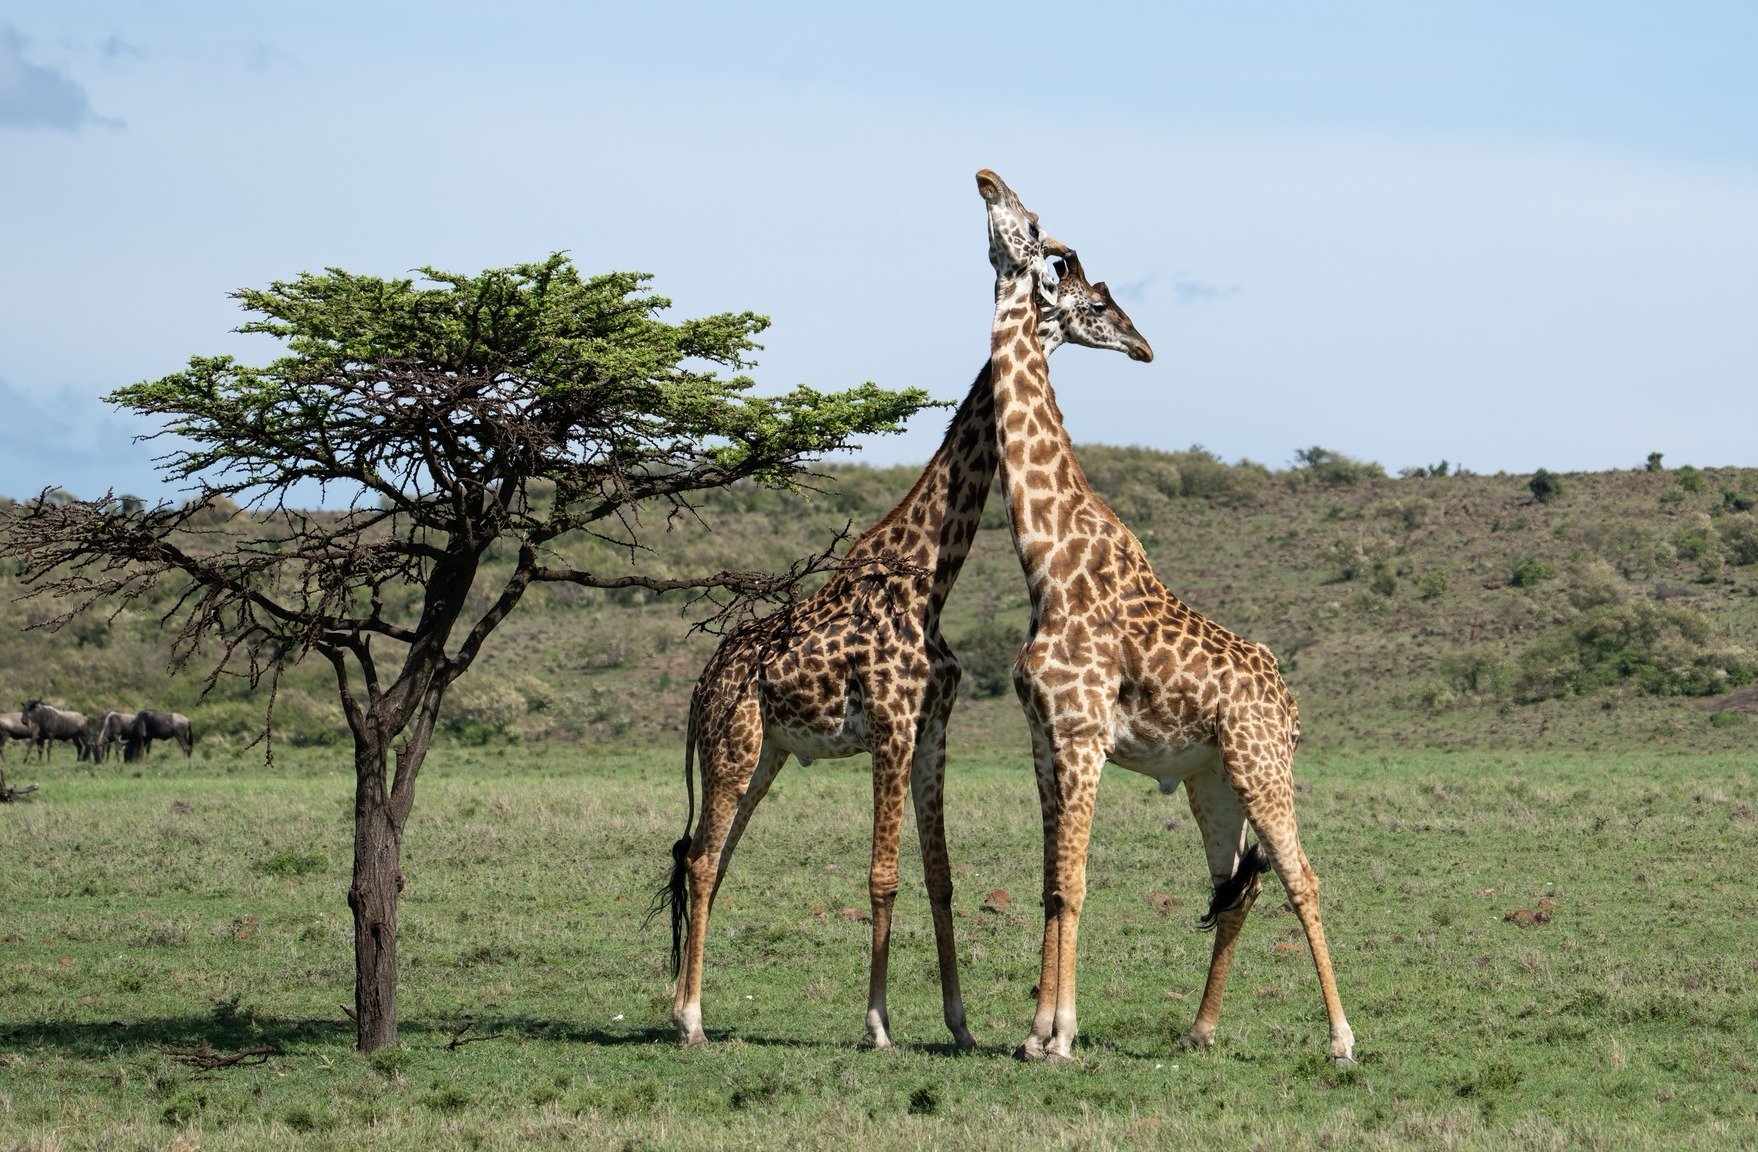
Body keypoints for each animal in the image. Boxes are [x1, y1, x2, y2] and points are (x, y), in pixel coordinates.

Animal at [661, 242, 1153, 1055]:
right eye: (1095, 305)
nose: (1144, 346)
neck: (930, 575)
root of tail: (701, 685)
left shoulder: (933, 728)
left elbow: (941, 877)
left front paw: (960, 1025)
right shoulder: (891, 722)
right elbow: (883, 875)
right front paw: (878, 1025)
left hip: (765, 755)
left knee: (712, 856)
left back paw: (681, 1007)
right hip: (733, 746)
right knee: (702, 861)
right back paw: (691, 1020)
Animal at [977, 167, 1357, 1069]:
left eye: (1027, 224)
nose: (983, 177)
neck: (1045, 558)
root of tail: (1290, 704)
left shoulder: (1082, 737)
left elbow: (1073, 883)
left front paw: (1060, 1035)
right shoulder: (1043, 740)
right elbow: (1049, 882)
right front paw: (1033, 1031)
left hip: (1261, 764)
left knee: (1302, 878)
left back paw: (1341, 1039)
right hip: (1212, 779)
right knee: (1233, 890)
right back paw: (1200, 1028)